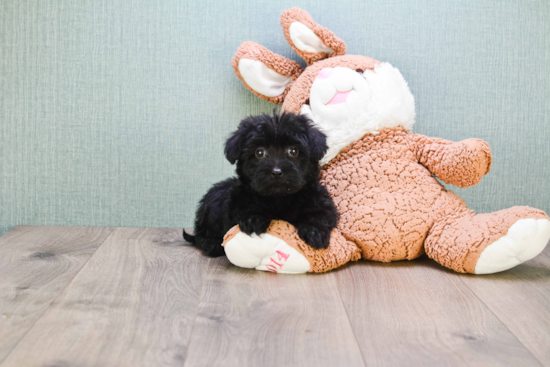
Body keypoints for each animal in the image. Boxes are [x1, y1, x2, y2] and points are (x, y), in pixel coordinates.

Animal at [185, 112, 338, 258]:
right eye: (259, 152)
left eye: (293, 151)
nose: (276, 172)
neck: (279, 199)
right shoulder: (237, 200)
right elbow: (246, 207)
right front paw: (253, 219)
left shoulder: (320, 201)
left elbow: (321, 214)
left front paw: (314, 231)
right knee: (201, 234)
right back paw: (213, 244)